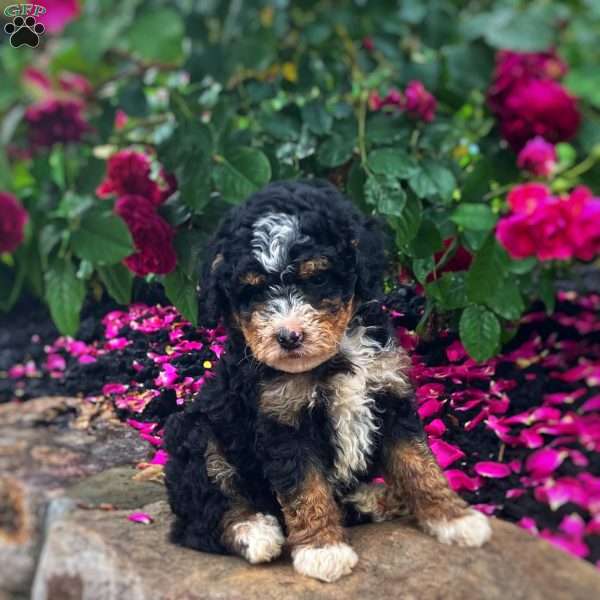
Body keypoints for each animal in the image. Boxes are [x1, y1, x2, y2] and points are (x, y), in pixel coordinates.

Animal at [163, 182, 488, 580]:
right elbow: (306, 487)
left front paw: (453, 517)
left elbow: (418, 463)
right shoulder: (282, 420)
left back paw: (375, 497)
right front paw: (322, 549)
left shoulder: (391, 394)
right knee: (201, 518)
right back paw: (253, 529)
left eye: (317, 278)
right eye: (252, 290)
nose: (288, 336)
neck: (337, 354)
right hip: (194, 432)